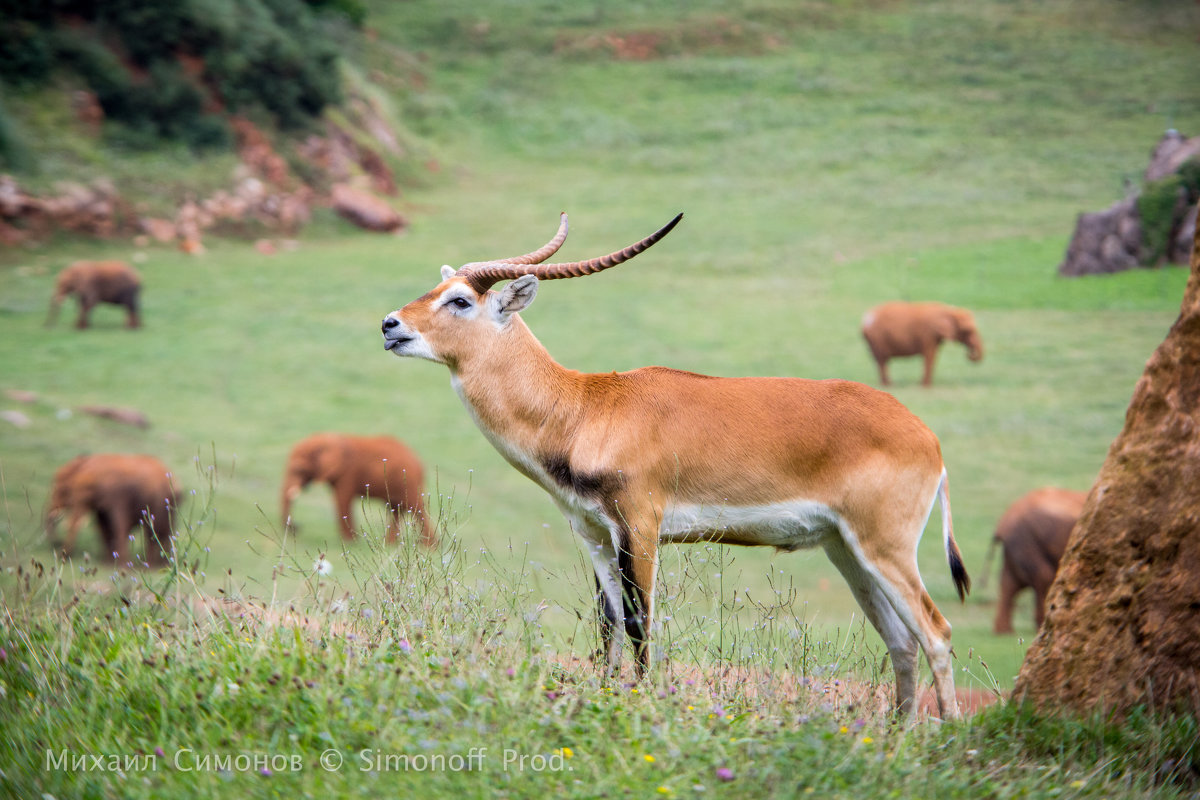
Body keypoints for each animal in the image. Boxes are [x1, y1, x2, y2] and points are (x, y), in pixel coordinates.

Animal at [45, 455, 180, 563]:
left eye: (61, 490)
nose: (56, 542)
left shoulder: (117, 496)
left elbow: (117, 523)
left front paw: (120, 563)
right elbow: (103, 525)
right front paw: (110, 561)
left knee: (156, 530)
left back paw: (153, 564)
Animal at [280, 434, 436, 546]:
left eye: (299, 470)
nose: (298, 527)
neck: (327, 438)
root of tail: (419, 461)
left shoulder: (349, 472)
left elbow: (342, 500)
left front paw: (350, 542)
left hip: (409, 481)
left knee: (416, 508)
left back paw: (429, 547)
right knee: (396, 509)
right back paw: (390, 545)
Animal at [379, 212, 969, 719]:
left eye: (459, 300)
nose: (389, 324)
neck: (583, 408)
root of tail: (928, 439)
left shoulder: (640, 526)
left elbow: (641, 624)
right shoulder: (594, 533)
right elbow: (610, 627)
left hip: (884, 546)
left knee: (937, 633)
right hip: (846, 549)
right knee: (902, 642)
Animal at [984, 484, 1089, 633]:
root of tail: (1002, 524)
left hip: (1018, 546)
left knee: (1009, 584)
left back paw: (1005, 632)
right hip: (1028, 540)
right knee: (1043, 577)